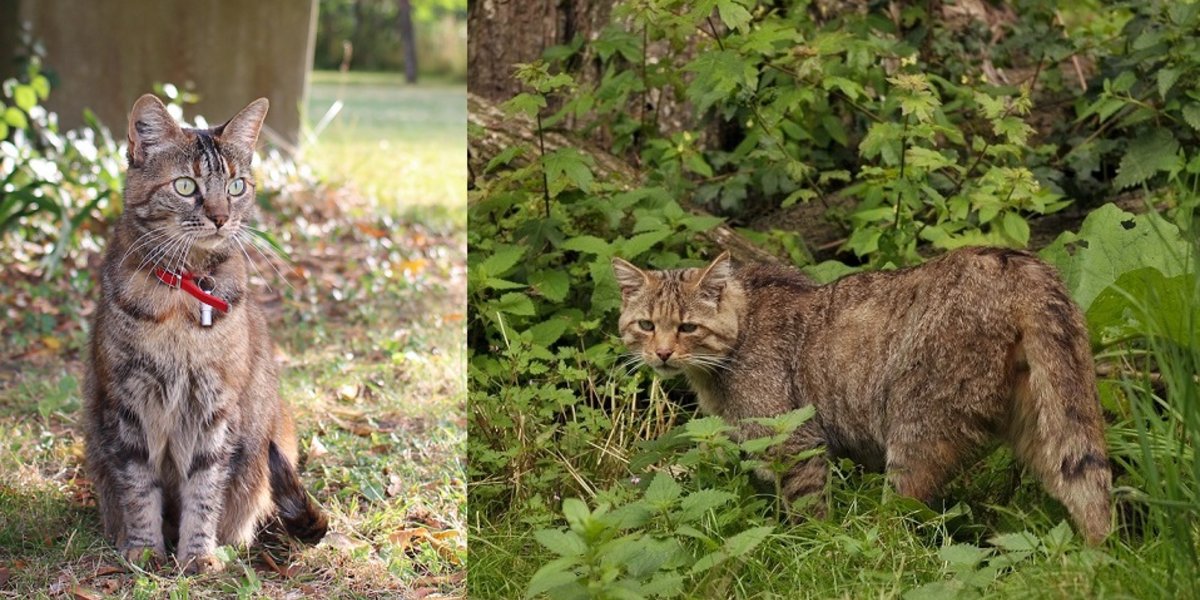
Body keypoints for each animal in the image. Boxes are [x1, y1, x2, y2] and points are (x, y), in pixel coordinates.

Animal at [82, 92, 328, 571]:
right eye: (185, 186)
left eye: (236, 187)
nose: (219, 217)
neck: (184, 294)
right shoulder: (128, 403)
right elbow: (139, 486)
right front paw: (144, 546)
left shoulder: (217, 405)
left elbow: (205, 487)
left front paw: (197, 554)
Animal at [614, 248, 1108, 544]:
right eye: (646, 325)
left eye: (687, 327)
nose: (662, 353)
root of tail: (1017, 261)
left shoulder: (794, 441)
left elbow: (809, 514)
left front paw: (812, 548)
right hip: (1046, 420)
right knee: (1084, 484)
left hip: (915, 426)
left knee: (902, 519)